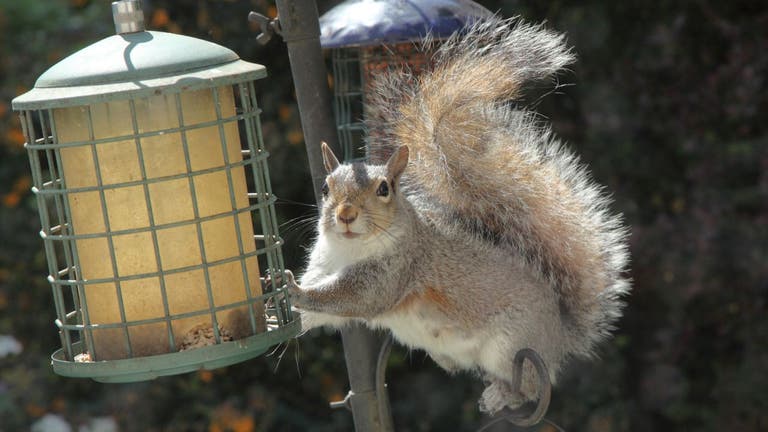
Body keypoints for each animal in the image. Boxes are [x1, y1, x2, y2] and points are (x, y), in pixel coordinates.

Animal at [282, 16, 632, 416]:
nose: (345, 215)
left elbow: (354, 297)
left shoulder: (399, 268)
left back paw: (502, 395)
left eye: (384, 189)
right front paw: (278, 314)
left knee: (530, 387)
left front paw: (295, 292)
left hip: (512, 345)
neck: (348, 249)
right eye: (325, 188)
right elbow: (321, 311)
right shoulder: (324, 263)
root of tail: (559, 336)